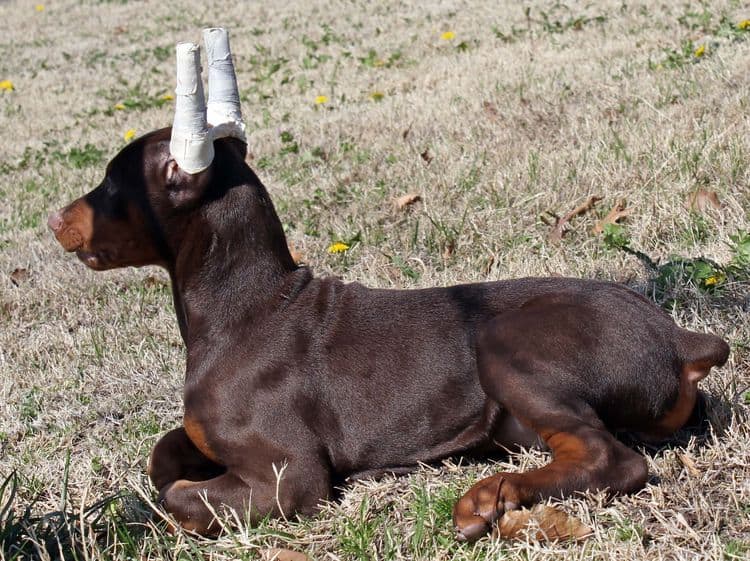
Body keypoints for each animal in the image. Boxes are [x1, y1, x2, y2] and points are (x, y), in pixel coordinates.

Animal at [48, 34, 728, 540]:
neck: (246, 309)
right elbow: (164, 454)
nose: (54, 219)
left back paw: (487, 498)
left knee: (612, 458)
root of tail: (680, 339)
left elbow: (179, 497)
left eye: (112, 182)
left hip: (508, 341)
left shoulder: (288, 475)